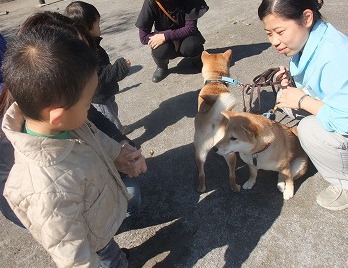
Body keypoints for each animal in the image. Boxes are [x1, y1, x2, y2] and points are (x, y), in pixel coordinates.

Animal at [194, 49, 241, 193]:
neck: (215, 81)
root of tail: (214, 122)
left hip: (200, 153)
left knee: (201, 173)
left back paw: (201, 187)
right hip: (231, 154)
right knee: (232, 175)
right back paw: (235, 187)